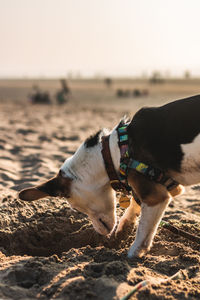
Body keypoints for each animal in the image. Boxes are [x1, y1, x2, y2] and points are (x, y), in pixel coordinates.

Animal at [18, 95, 200, 258]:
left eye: (75, 207)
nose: (100, 233)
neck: (114, 152)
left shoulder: (155, 197)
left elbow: (143, 230)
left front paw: (134, 252)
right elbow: (135, 204)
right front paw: (123, 229)